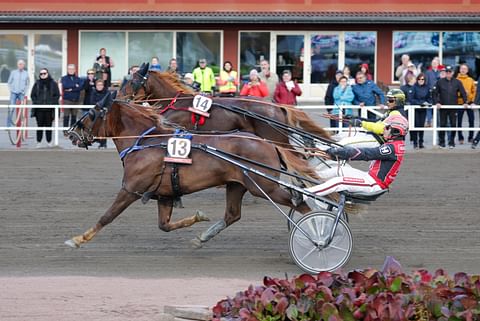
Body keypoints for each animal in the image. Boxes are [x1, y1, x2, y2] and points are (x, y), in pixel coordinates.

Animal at [65, 99, 316, 249]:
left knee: (300, 203)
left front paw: (78, 239)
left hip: (265, 186)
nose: (70, 133)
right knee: (233, 215)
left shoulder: (130, 189)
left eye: (91, 113)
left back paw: (314, 233)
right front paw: (198, 217)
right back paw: (203, 236)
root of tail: (268, 144)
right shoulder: (164, 194)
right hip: (237, 184)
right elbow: (164, 225)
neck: (144, 142)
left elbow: (107, 216)